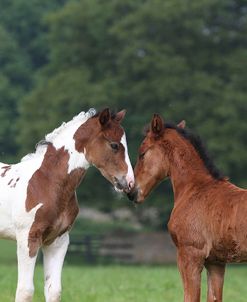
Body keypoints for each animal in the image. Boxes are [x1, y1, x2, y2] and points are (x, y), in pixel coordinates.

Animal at [0, 108, 134, 302]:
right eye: (114, 145)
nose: (130, 183)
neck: (46, 182)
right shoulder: (28, 237)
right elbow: (25, 291)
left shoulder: (58, 241)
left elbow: (53, 290)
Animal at [128, 113, 247, 302]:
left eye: (142, 153)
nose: (132, 192)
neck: (196, 188)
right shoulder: (216, 262)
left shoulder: (190, 255)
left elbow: (190, 297)